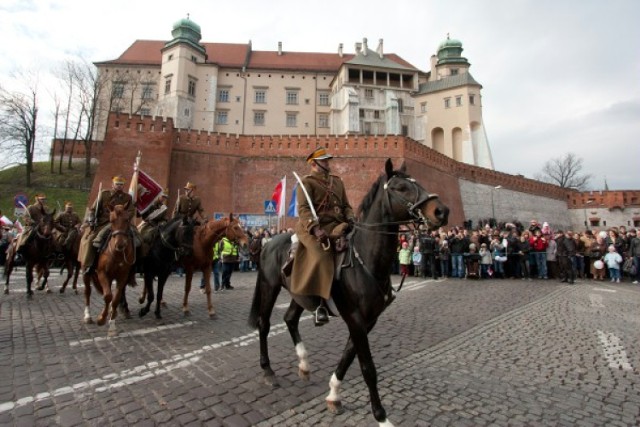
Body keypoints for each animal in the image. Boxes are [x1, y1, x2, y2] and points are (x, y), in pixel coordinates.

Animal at [83, 204, 136, 338]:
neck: (117, 254)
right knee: (87, 291)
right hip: (86, 272)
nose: (120, 244)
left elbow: (115, 298)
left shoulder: (122, 276)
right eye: (111, 221)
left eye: (127, 219)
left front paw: (112, 326)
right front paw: (101, 319)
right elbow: (107, 296)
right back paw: (87, 316)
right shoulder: (102, 274)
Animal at [246, 160, 450, 427]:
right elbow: (367, 368)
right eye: (401, 188)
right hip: (270, 287)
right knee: (264, 324)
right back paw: (268, 370)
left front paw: (333, 395)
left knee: (289, 319)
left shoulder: (368, 321)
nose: (441, 211)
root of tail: (268, 242)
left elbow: (348, 357)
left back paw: (304, 363)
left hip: (301, 293)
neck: (365, 260)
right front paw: (382, 417)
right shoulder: (355, 318)